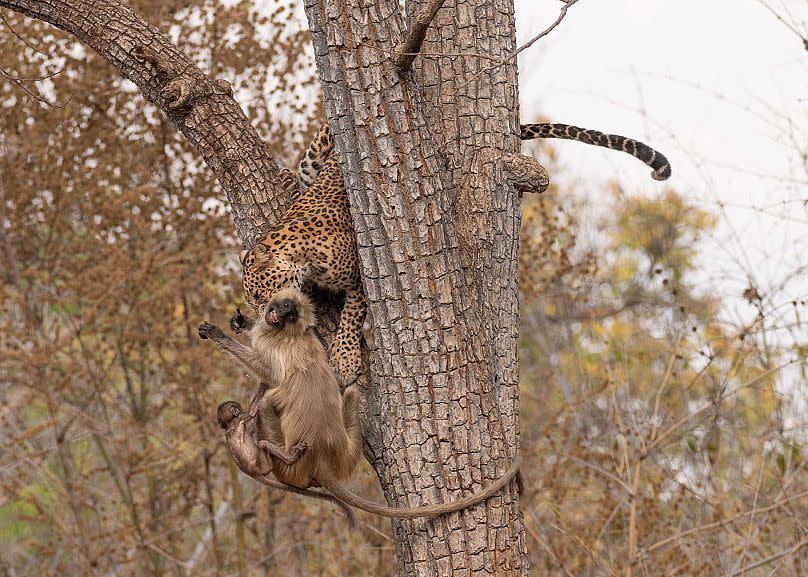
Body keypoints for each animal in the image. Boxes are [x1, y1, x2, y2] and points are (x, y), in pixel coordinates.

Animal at [199, 286, 520, 516]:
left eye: (290, 314)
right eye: (283, 307)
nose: (279, 313)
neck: (288, 333)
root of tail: (321, 460)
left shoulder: (269, 345)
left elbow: (265, 373)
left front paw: (221, 334)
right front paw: (243, 321)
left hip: (288, 465)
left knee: (268, 406)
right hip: (347, 451)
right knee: (351, 391)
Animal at [243, 121, 672, 382]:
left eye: (260, 293)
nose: (264, 314)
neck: (301, 255)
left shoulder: (364, 275)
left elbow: (350, 317)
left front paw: (346, 361)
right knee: (303, 172)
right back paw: (287, 178)